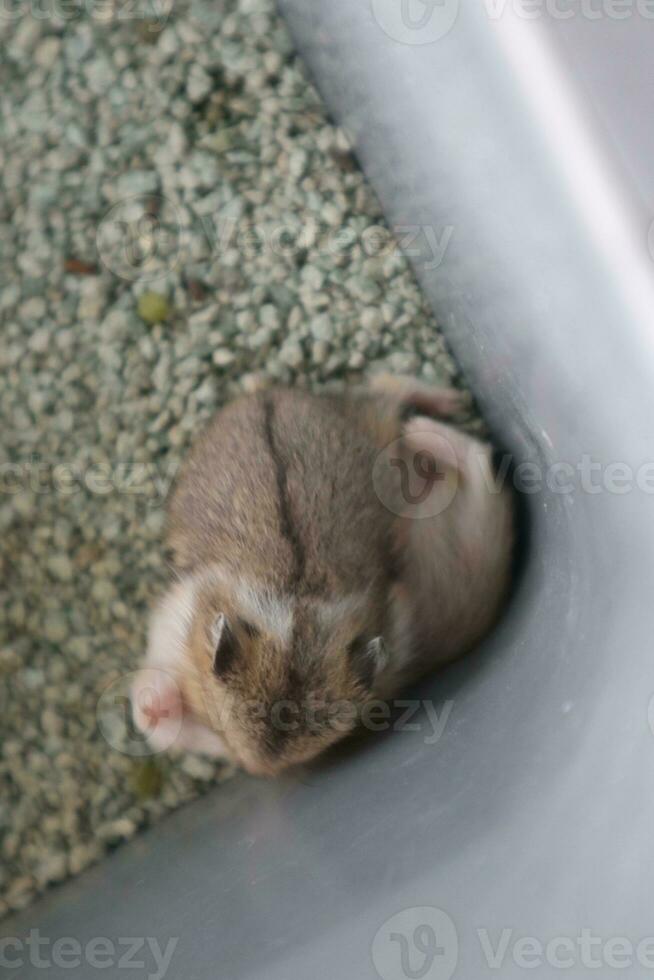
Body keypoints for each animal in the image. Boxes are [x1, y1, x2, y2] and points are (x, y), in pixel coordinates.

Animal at [131, 374, 516, 772]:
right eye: (216, 722)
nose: (260, 770)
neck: (297, 623)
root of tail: (267, 390)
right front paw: (155, 704)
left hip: (480, 533)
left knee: (471, 453)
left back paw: (426, 423)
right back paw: (430, 420)